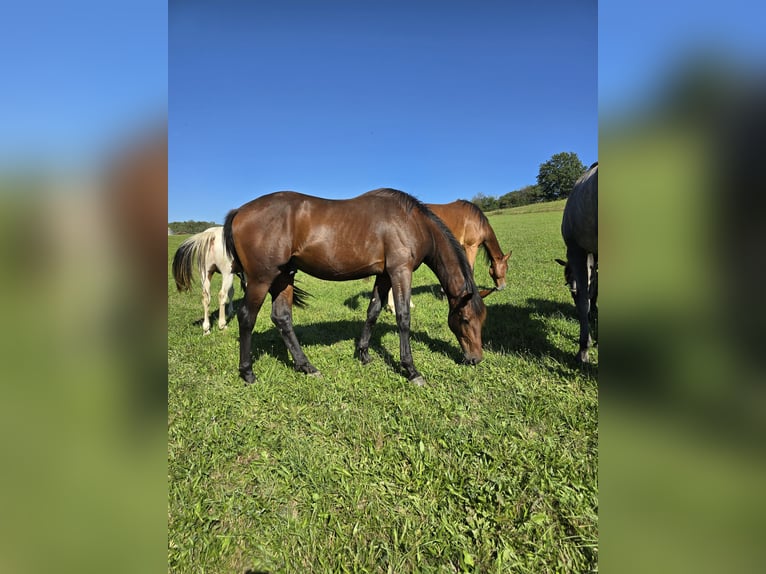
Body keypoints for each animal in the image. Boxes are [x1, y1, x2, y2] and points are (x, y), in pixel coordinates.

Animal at [222, 189, 488, 388]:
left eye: (482, 319)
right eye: (465, 319)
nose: (476, 358)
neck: (412, 222)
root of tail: (239, 211)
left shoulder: (383, 275)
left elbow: (373, 311)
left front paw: (363, 354)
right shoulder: (400, 271)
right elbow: (403, 317)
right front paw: (411, 370)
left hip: (283, 277)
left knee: (282, 318)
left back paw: (306, 366)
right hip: (261, 279)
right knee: (247, 317)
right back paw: (247, 372)